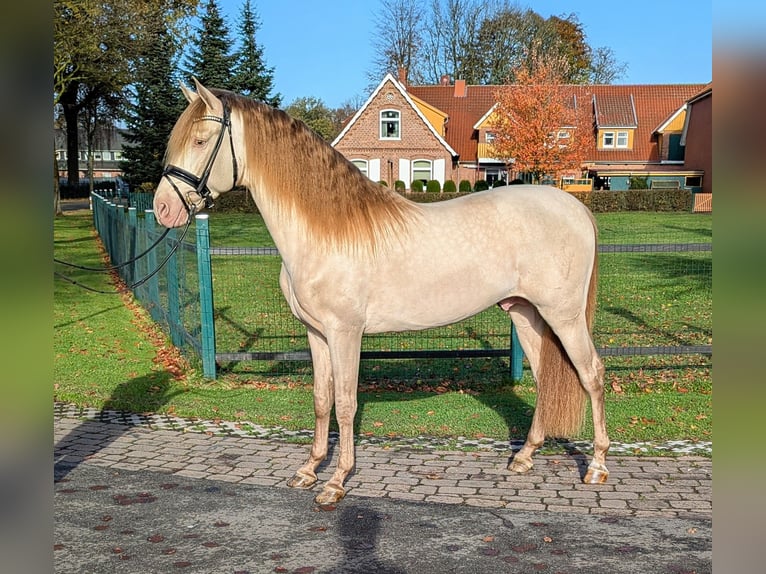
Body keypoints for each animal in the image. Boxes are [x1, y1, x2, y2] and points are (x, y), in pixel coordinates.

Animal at [156, 80, 612, 504]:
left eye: (200, 140)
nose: (163, 208)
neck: (325, 231)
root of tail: (575, 208)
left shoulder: (345, 333)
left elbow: (345, 403)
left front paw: (337, 481)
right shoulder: (317, 333)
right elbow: (321, 399)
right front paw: (309, 470)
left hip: (563, 316)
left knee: (591, 373)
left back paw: (597, 466)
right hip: (525, 312)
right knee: (543, 377)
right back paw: (524, 457)